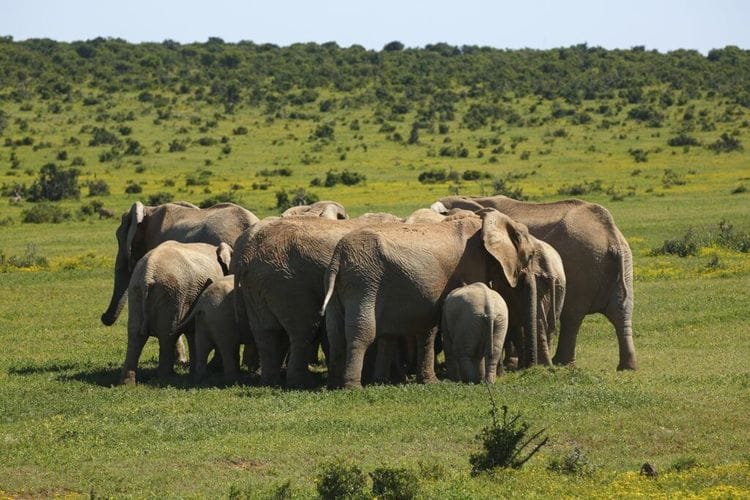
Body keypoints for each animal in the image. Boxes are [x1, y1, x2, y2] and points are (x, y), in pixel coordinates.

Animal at [120, 241, 233, 384]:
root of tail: (148, 273)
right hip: (172, 295)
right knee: (167, 335)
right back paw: (167, 378)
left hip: (137, 292)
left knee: (135, 335)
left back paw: (127, 383)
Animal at [233, 212, 401, 388]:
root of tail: (247, 255)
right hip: (288, 284)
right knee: (303, 330)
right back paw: (301, 383)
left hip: (256, 286)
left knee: (265, 333)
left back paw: (269, 382)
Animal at [322, 208, 545, 389]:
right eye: (531, 255)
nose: (528, 369)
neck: (485, 221)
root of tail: (338, 255)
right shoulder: (473, 263)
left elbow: (422, 328)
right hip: (365, 279)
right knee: (362, 331)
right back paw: (352, 387)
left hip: (347, 283)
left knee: (336, 332)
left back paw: (337, 384)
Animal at [431, 195, 636, 370]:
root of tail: (612, 237)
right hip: (622, 265)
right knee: (621, 312)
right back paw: (627, 367)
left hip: (583, 265)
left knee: (573, 315)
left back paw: (560, 362)